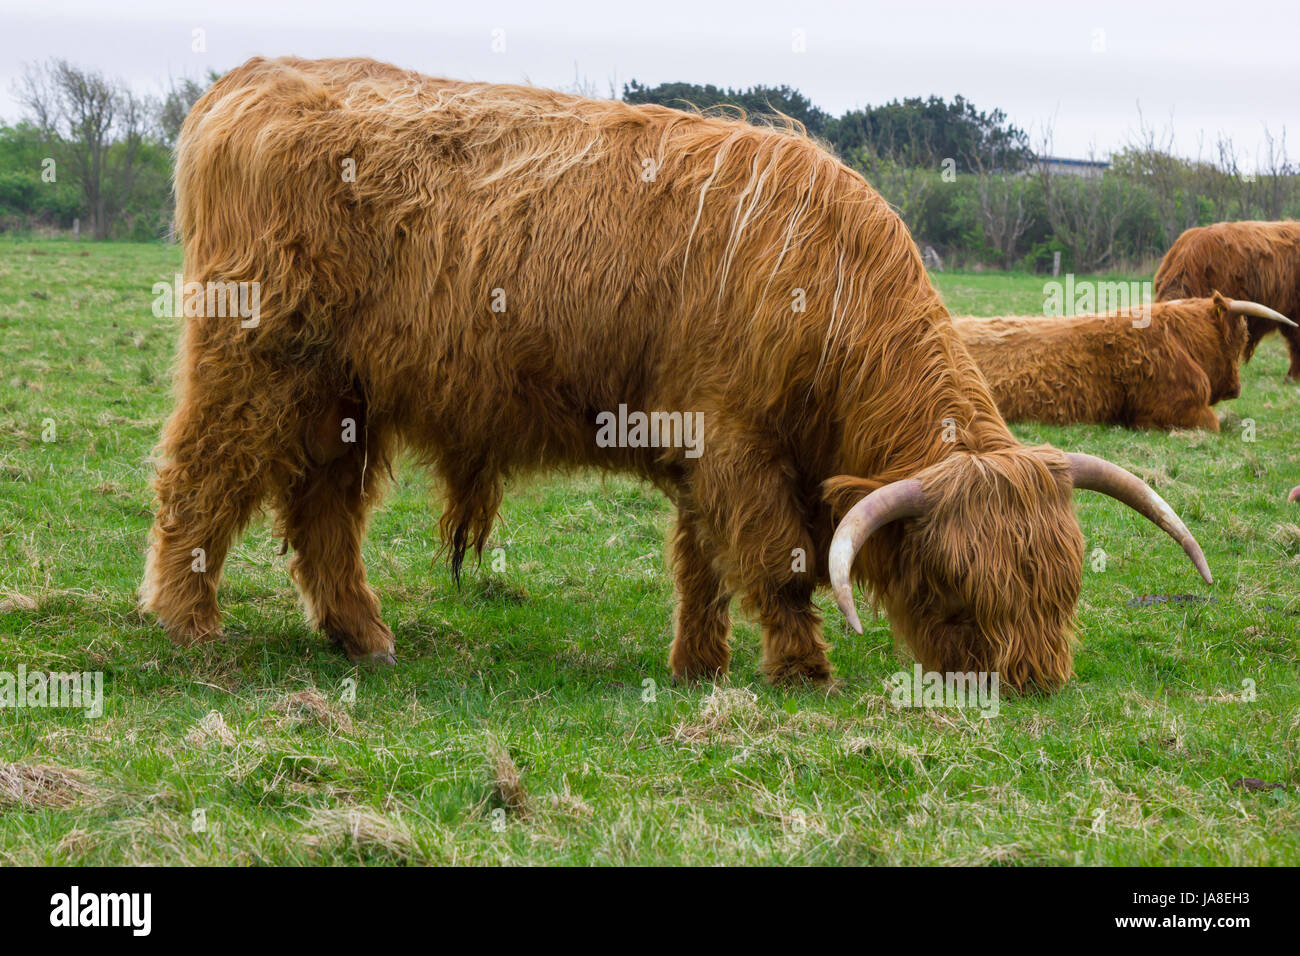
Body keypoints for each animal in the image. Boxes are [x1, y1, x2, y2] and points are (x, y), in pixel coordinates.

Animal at [140, 56, 1212, 693]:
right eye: (954, 581)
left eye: (1063, 580)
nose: (1035, 683)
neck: (831, 302)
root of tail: (246, 79)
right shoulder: (737, 443)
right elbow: (777, 561)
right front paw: (804, 670)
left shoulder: (708, 454)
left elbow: (702, 562)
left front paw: (700, 665)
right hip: (255, 360)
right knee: (200, 475)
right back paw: (191, 628)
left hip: (343, 396)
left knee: (322, 511)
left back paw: (363, 636)